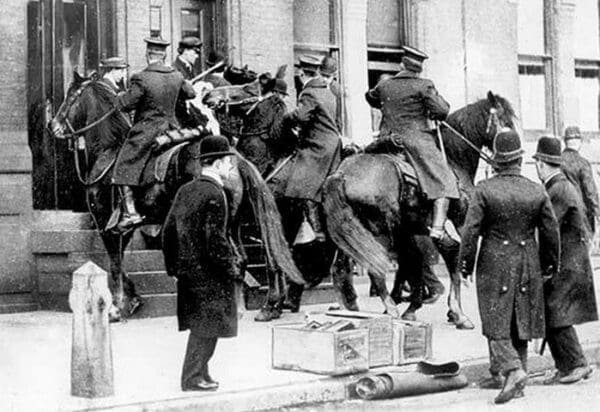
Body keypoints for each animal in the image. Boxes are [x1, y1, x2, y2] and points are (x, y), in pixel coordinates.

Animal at [47, 71, 302, 320]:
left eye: (70, 96)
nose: (53, 125)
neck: (106, 152)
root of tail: (235, 158)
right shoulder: (121, 228)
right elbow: (121, 262)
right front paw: (133, 299)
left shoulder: (104, 222)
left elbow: (115, 264)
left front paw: (115, 309)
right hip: (233, 222)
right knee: (240, 260)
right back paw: (240, 308)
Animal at [324, 91, 516, 326]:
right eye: (506, 121)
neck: (452, 158)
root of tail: (341, 176)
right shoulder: (461, 222)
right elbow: (453, 257)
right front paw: (457, 312)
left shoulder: (411, 229)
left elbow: (412, 263)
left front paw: (415, 305)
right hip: (377, 233)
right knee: (375, 269)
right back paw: (391, 310)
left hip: (349, 236)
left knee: (340, 267)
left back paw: (348, 309)